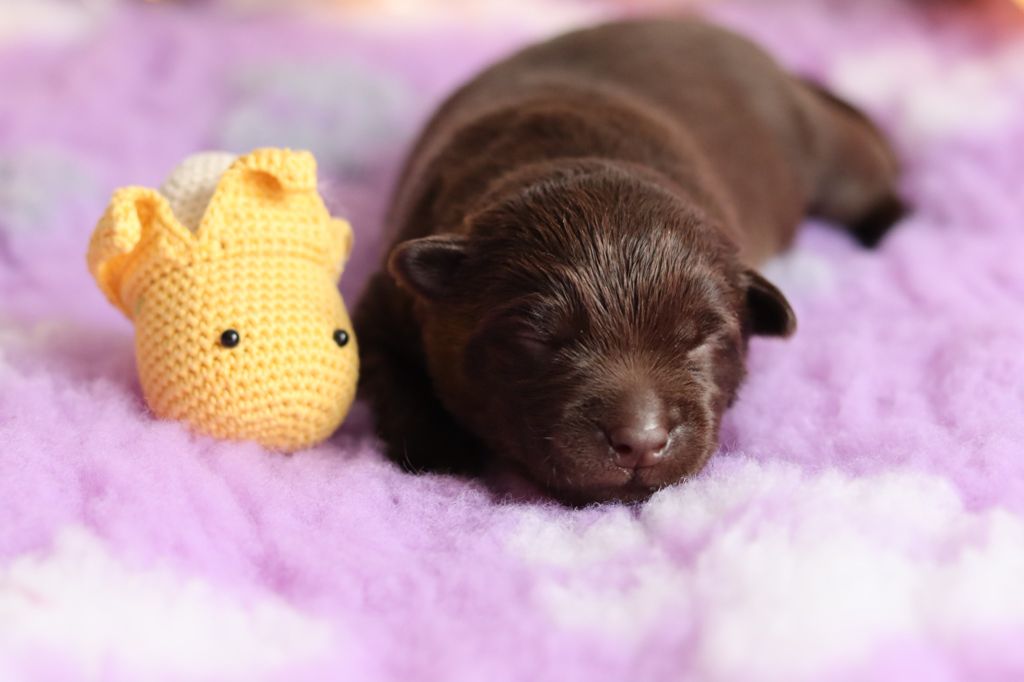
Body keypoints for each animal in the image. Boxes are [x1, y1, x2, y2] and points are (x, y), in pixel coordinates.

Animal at [353, 18, 904, 504]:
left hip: (825, 151)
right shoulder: (383, 300)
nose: (641, 442)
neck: (575, 155)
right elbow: (386, 367)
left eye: (702, 339)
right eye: (537, 338)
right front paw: (438, 447)